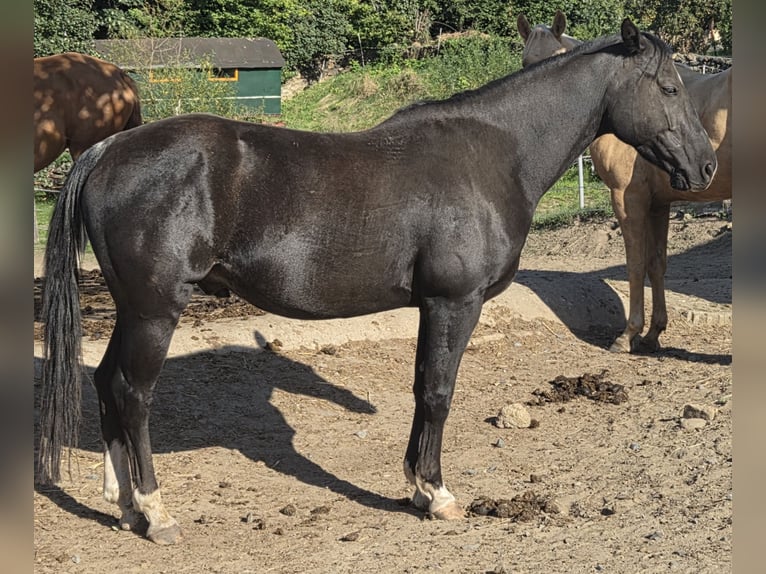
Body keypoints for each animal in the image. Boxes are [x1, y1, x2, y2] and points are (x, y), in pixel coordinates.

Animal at [517, 12, 732, 353]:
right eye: (525, 62)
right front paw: (654, 333)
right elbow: (656, 264)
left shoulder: (628, 199)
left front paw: (628, 334)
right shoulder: (659, 204)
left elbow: (635, 264)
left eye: (558, 58)